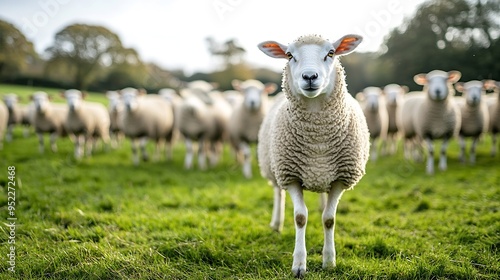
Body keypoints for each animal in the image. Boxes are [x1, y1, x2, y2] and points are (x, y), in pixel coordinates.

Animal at [260, 34, 370, 276]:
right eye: (289, 55)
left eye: (331, 53)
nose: (309, 76)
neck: (317, 138)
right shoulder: (290, 175)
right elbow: (300, 217)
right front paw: (299, 265)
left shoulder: (340, 178)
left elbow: (329, 219)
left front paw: (329, 261)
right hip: (274, 168)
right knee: (278, 194)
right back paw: (276, 224)